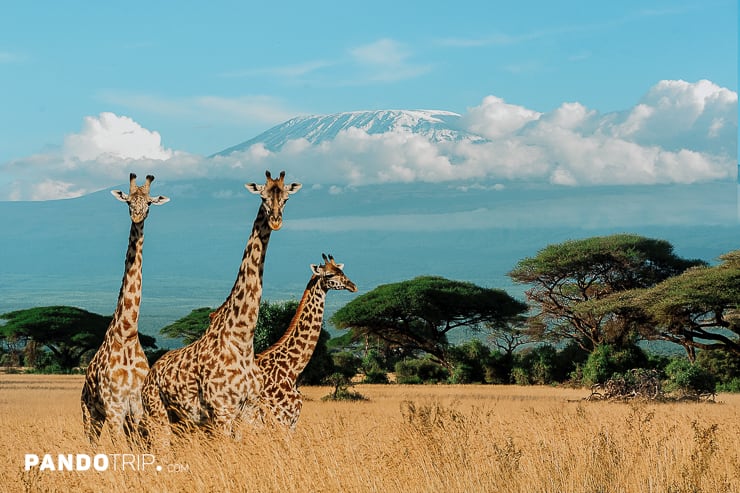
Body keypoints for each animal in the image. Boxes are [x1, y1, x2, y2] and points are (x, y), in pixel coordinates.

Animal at [80, 172, 169, 442]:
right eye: (129, 201)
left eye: (149, 202)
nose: (137, 217)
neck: (127, 333)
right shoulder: (114, 407)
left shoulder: (137, 407)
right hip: (90, 413)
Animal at [142, 171, 300, 436]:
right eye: (263, 196)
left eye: (287, 198)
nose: (276, 221)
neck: (242, 339)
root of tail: (150, 373)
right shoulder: (222, 411)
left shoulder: (248, 411)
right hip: (158, 415)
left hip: (183, 423)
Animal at [253, 254, 356, 426]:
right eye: (329, 275)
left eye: (341, 271)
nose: (353, 286)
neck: (292, 370)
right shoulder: (280, 420)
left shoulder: (291, 422)